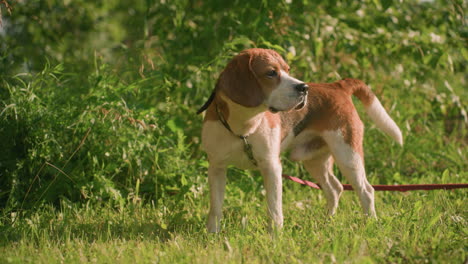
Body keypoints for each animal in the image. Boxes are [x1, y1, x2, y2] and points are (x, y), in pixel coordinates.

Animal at [197, 48, 402, 232]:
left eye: (288, 70)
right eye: (271, 72)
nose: (304, 88)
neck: (244, 126)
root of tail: (337, 86)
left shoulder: (271, 166)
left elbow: (274, 209)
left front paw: (275, 236)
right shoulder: (216, 167)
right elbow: (215, 208)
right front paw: (212, 234)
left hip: (348, 154)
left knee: (366, 191)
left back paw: (370, 223)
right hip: (314, 160)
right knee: (334, 189)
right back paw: (327, 221)